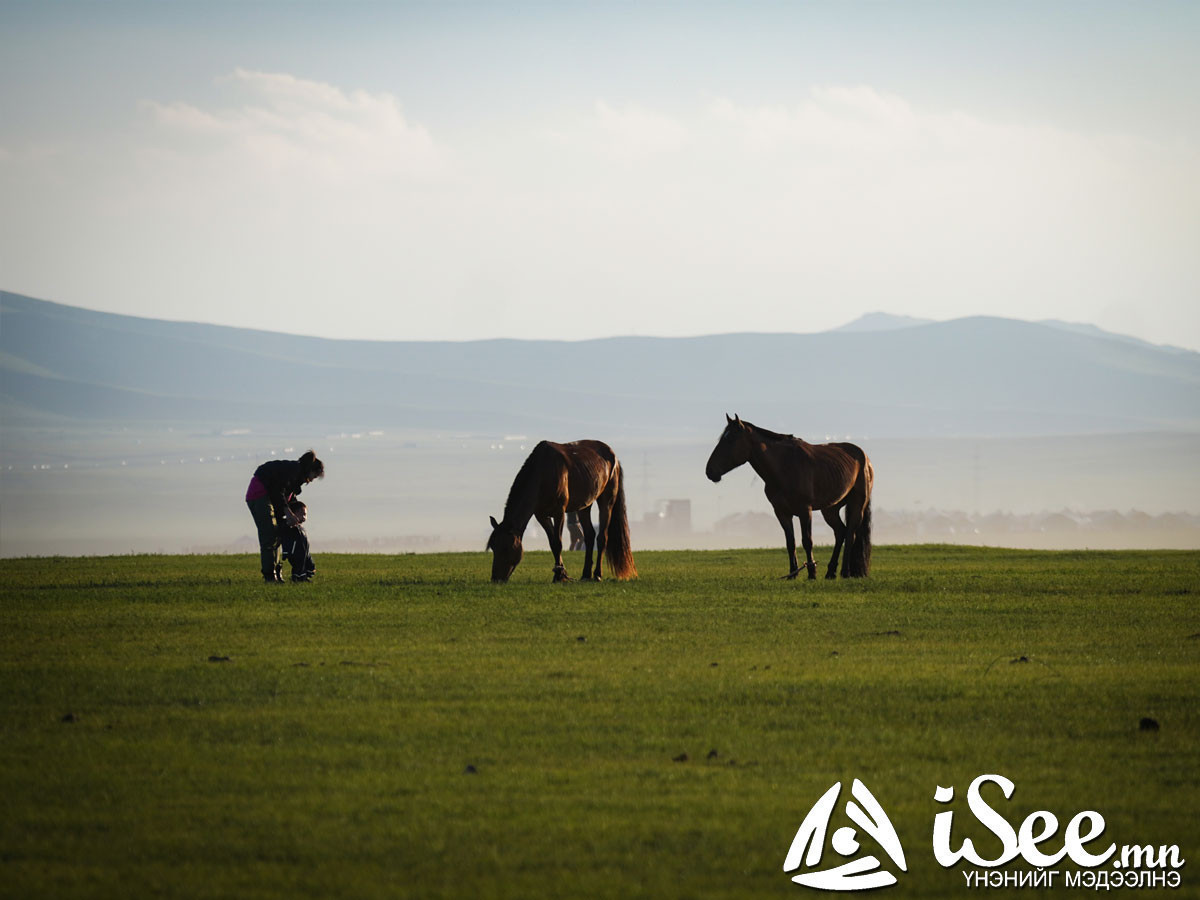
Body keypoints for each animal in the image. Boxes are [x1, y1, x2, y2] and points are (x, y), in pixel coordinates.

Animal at [487, 441, 638, 585]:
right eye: (493, 546)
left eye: (506, 548)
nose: (496, 579)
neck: (543, 472)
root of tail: (614, 457)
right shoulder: (541, 515)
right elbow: (553, 544)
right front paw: (560, 574)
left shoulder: (559, 512)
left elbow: (558, 543)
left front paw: (560, 576)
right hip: (584, 506)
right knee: (589, 536)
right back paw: (585, 575)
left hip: (607, 501)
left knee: (602, 538)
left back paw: (597, 575)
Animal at [700, 415, 873, 578]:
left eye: (731, 439)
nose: (710, 471)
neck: (785, 467)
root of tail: (864, 457)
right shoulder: (782, 512)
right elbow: (790, 542)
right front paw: (793, 573)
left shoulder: (805, 511)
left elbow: (807, 541)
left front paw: (812, 573)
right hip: (830, 509)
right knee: (840, 532)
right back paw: (830, 572)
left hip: (857, 505)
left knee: (850, 534)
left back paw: (845, 571)